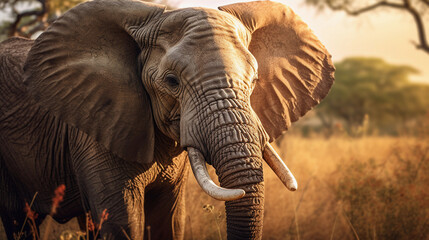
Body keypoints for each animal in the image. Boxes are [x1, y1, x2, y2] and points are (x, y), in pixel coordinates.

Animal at [0, 0, 332, 239]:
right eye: (172, 81)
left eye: (254, 81)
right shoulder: (95, 127)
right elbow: (124, 222)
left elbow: (170, 221)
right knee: (19, 220)